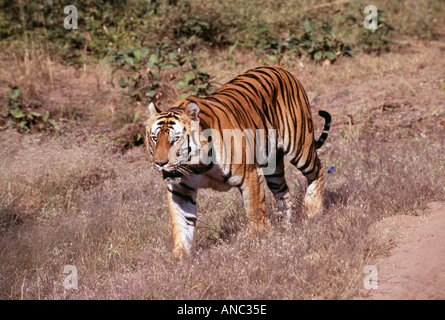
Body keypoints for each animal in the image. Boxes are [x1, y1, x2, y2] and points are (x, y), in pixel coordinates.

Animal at [145, 65, 330, 260]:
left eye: (175, 139)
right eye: (155, 138)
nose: (160, 163)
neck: (196, 166)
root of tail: (281, 69)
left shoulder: (249, 176)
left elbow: (254, 212)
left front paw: (256, 242)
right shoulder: (180, 191)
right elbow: (181, 224)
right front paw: (179, 257)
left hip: (299, 146)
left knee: (317, 169)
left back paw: (312, 210)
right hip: (273, 168)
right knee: (283, 194)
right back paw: (285, 227)